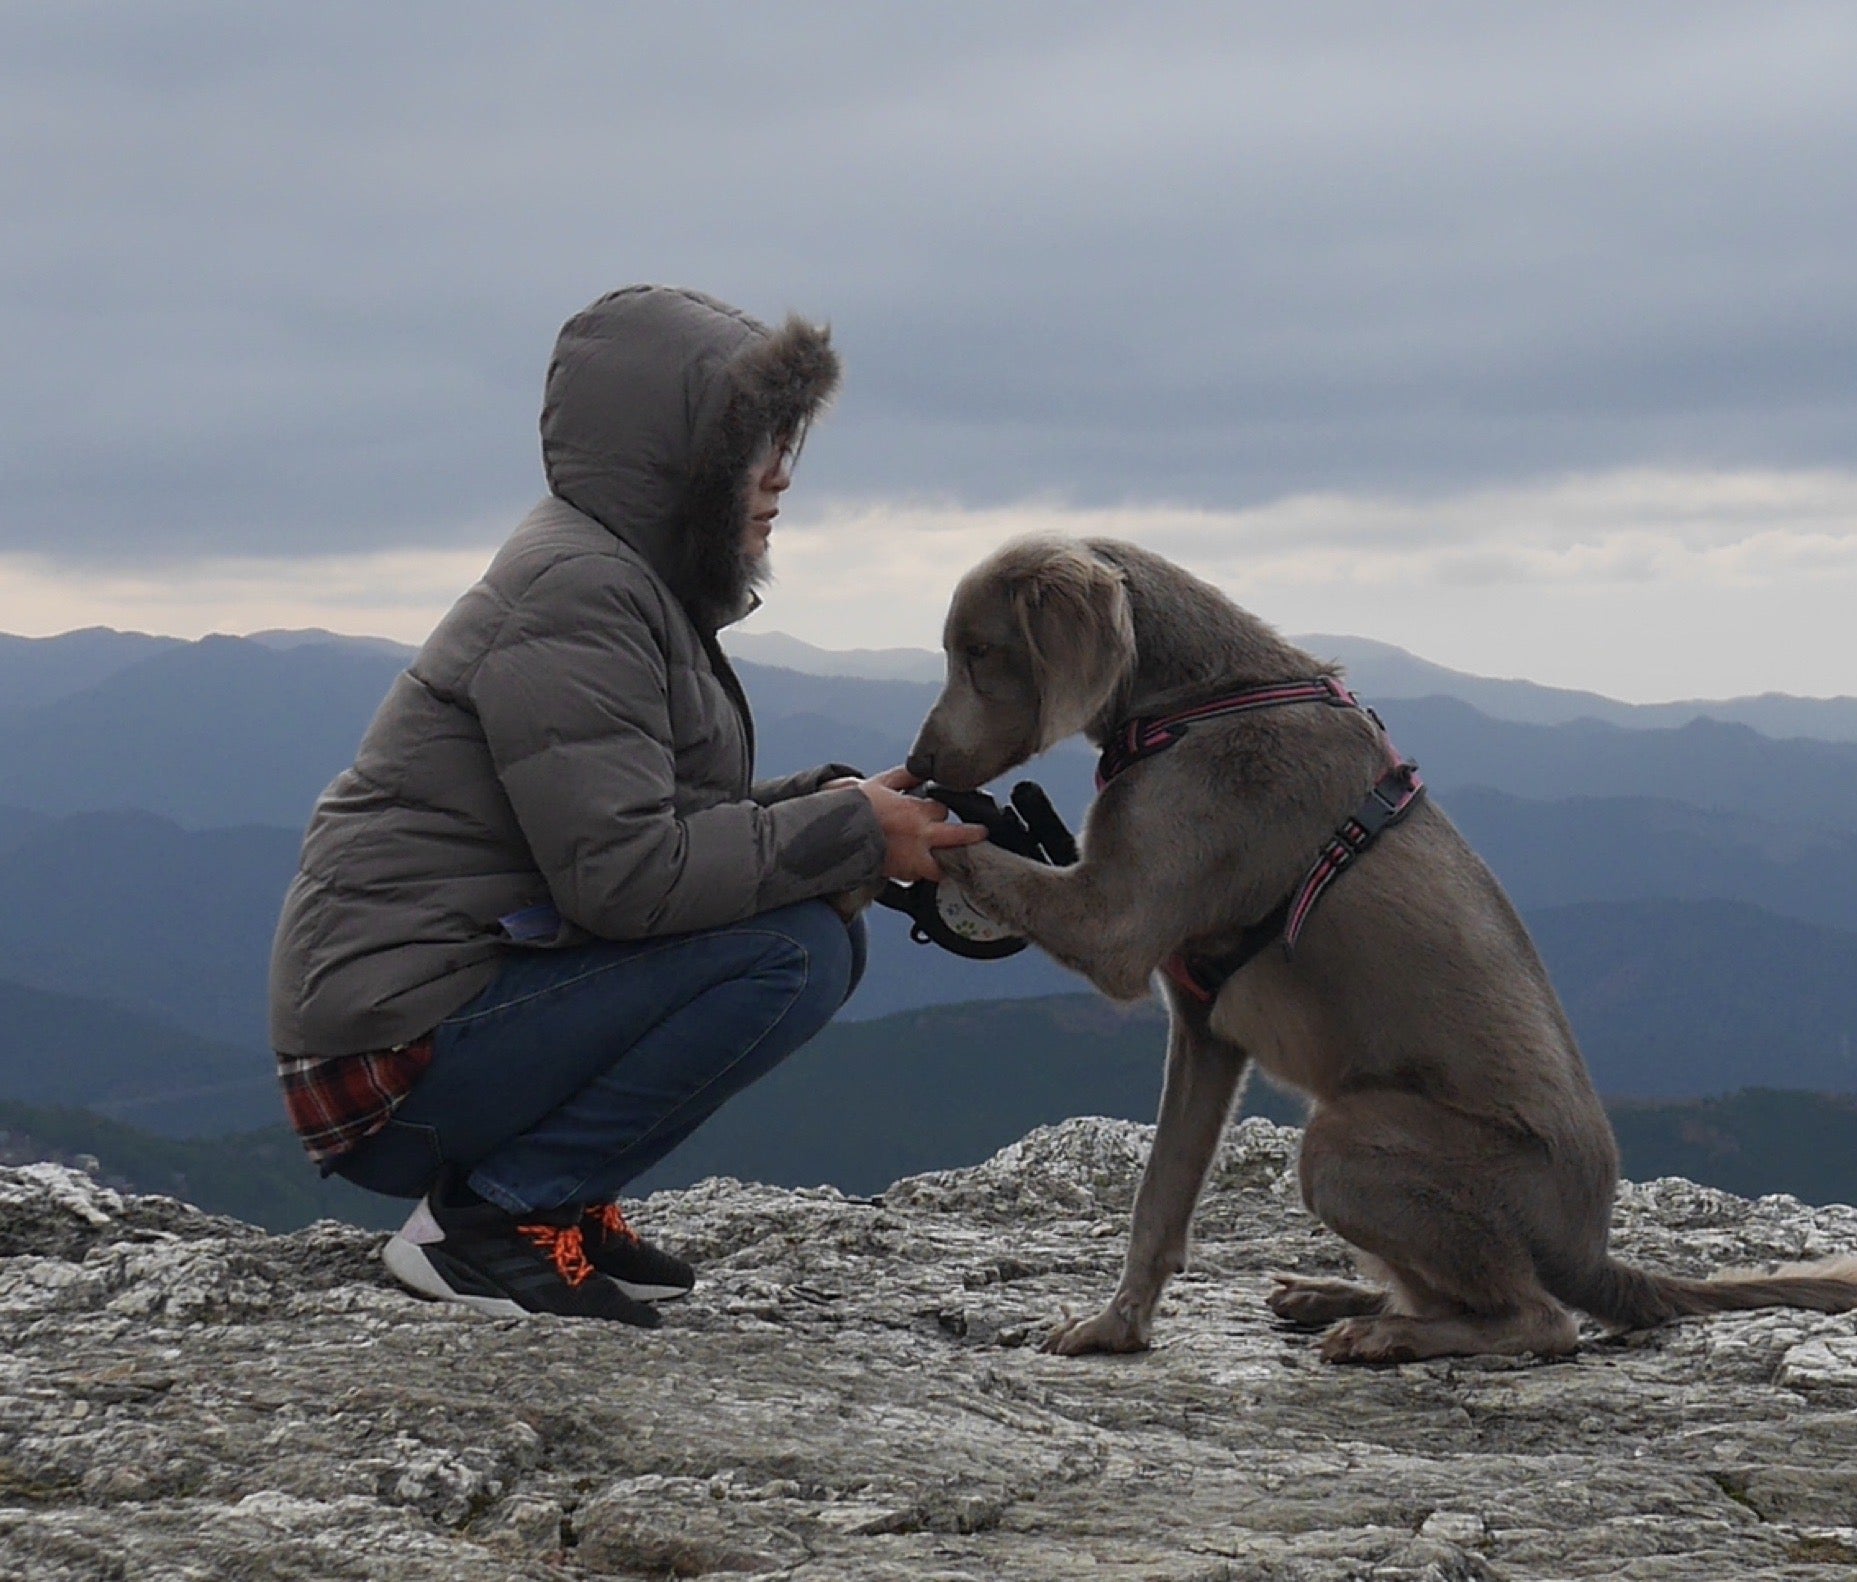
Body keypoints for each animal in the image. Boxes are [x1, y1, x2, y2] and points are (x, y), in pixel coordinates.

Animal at [913, 534, 1857, 1359]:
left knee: (1537, 1318)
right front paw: (1118, 1328)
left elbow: (972, 851)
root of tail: (1591, 1251)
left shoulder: (1112, 924)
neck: (1194, 701)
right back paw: (1337, 1295)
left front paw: (899, 819)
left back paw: (1389, 1334)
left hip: (1346, 1141)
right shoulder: (1203, 1026)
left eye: (978, 650)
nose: (923, 759)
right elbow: (1160, 1199)